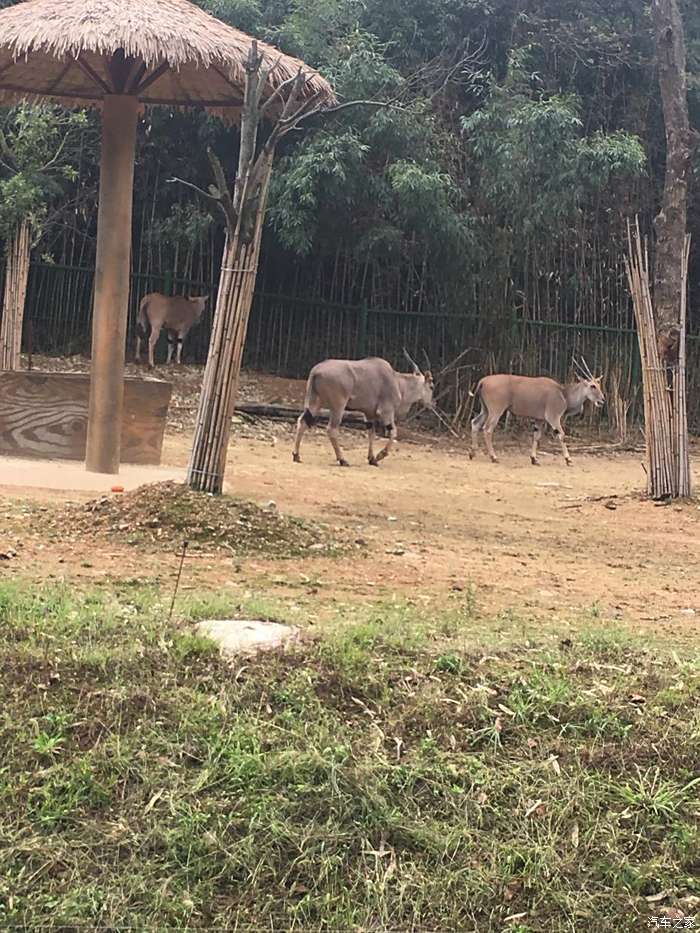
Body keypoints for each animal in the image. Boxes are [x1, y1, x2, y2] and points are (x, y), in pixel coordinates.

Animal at [290, 348, 432, 470]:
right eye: (431, 386)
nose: (432, 404)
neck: (398, 382)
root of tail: (315, 371)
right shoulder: (386, 411)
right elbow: (393, 432)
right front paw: (380, 456)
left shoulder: (369, 414)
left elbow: (371, 433)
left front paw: (372, 458)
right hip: (338, 407)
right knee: (331, 429)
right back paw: (342, 460)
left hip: (315, 404)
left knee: (302, 421)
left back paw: (296, 455)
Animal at [468, 360, 604, 470]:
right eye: (592, 386)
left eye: (599, 385)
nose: (602, 400)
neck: (563, 394)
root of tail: (483, 381)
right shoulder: (553, 417)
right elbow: (562, 435)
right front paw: (568, 460)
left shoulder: (539, 420)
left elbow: (536, 436)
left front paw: (534, 459)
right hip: (496, 410)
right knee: (487, 429)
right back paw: (494, 457)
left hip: (485, 410)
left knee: (475, 423)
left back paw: (472, 453)